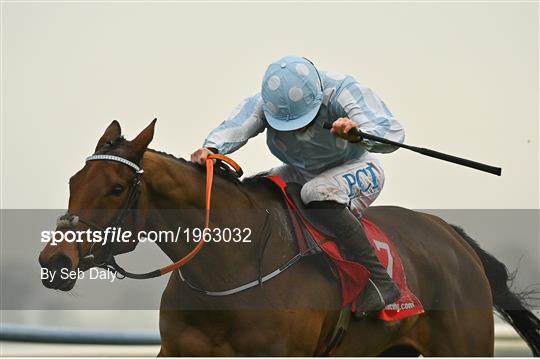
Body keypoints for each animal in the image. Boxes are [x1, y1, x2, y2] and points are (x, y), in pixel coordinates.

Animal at [39, 121, 540, 358]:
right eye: (73, 180)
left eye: (116, 188)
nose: (54, 260)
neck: (229, 270)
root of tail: (455, 239)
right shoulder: (178, 351)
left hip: (463, 345)